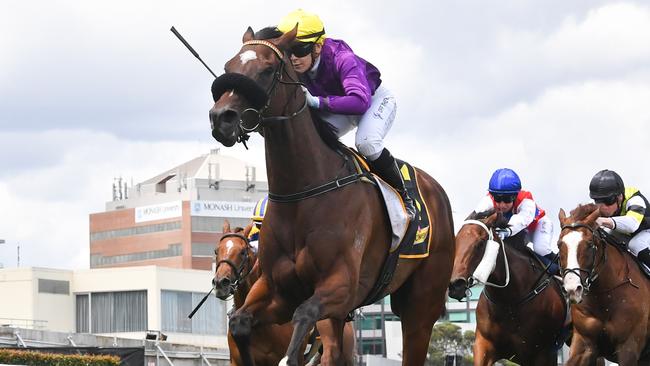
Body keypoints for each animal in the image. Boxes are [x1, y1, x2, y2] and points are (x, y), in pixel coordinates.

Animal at [448, 213, 564, 364]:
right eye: (455, 242)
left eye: (480, 244)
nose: (455, 284)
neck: (509, 302)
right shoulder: (484, 344)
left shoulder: (543, 352)